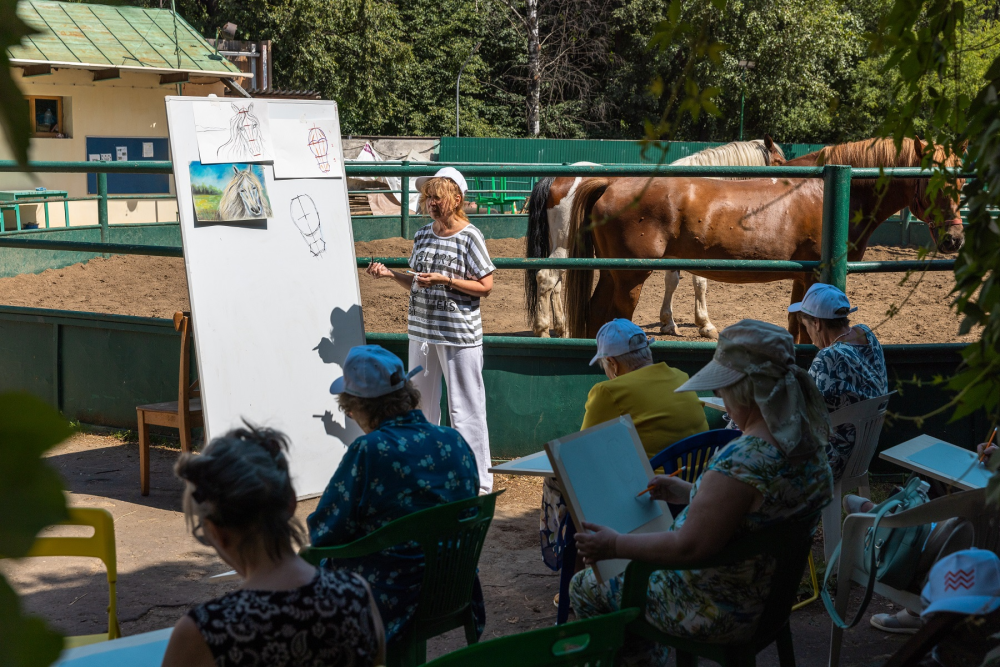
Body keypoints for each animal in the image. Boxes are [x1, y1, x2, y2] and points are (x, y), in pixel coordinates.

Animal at [528, 140, 784, 340]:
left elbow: (672, 282)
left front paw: (668, 323)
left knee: (556, 285)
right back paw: (542, 330)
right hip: (566, 245)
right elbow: (699, 284)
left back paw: (562, 329)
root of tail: (556, 179)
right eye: (780, 161)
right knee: (546, 278)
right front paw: (705, 324)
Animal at [568, 138, 964, 342]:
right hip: (629, 278)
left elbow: (797, 327)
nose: (955, 240)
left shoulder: (804, 279)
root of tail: (611, 183)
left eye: (961, 181)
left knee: (595, 315)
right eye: (935, 182)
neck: (831, 192)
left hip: (613, 275)